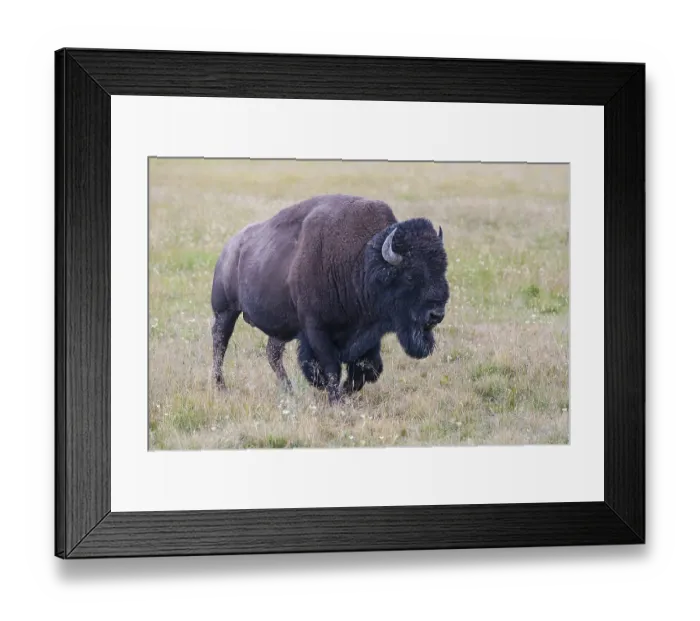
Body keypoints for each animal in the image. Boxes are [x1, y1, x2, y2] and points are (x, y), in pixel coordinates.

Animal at [210, 194, 450, 403]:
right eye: (410, 276)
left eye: (442, 269)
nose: (436, 314)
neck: (361, 261)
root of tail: (230, 247)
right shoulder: (316, 330)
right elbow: (331, 367)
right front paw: (335, 399)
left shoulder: (368, 334)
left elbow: (368, 369)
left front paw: (342, 392)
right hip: (225, 311)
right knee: (220, 344)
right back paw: (220, 386)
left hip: (281, 327)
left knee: (272, 353)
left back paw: (289, 391)